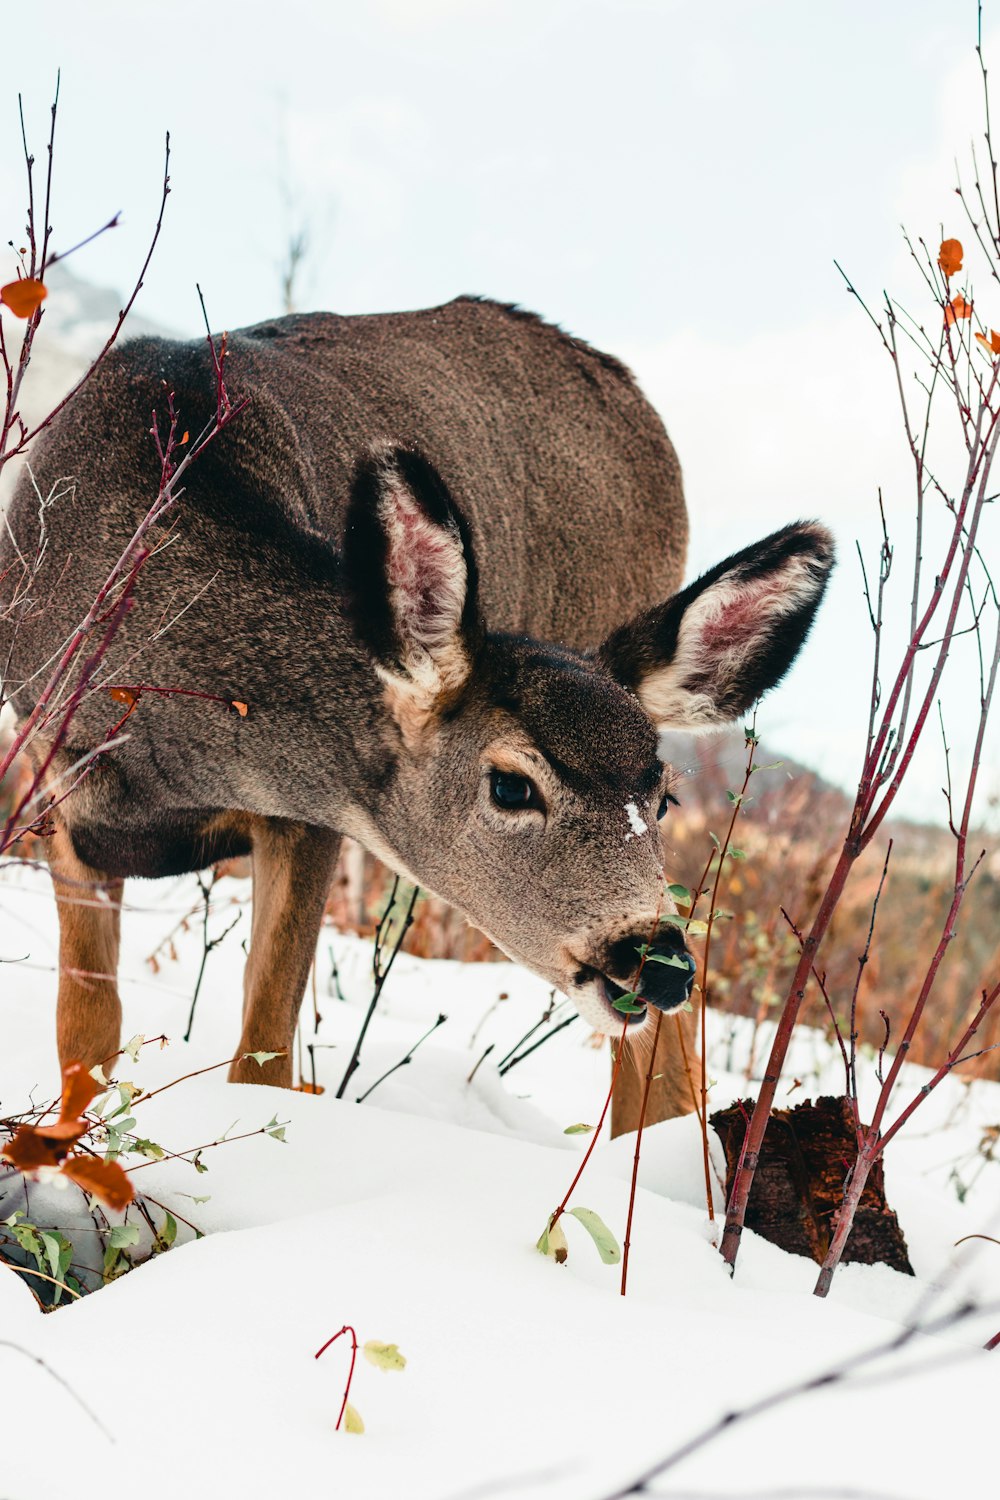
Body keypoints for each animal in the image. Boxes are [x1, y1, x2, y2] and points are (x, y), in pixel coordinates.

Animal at [1, 295, 839, 1128]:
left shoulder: (309, 819)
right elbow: (86, 1038)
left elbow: (261, 1057)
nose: (657, 961)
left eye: (662, 798)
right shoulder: (54, 789)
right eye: (511, 785)